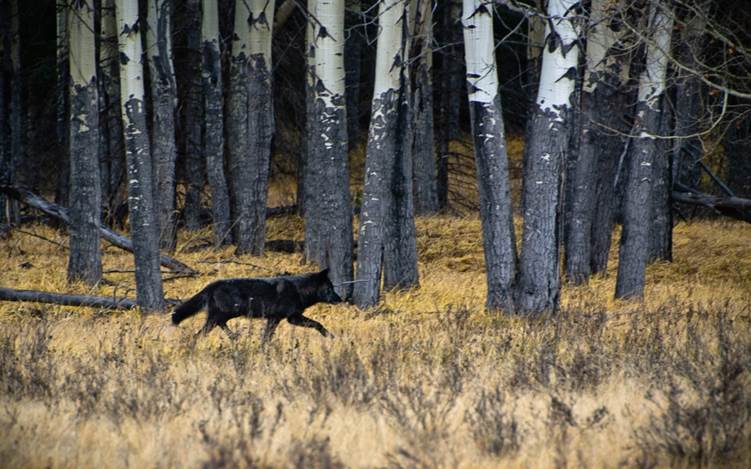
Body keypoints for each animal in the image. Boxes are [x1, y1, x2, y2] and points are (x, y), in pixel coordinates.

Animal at [172, 266, 342, 340]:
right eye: (330, 288)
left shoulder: (276, 319)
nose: (341, 299)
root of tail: (211, 285)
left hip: (225, 315)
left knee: (212, 327)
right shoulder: (291, 318)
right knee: (205, 330)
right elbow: (318, 324)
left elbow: (266, 337)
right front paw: (331, 336)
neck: (299, 290)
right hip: (229, 313)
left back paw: (234, 337)